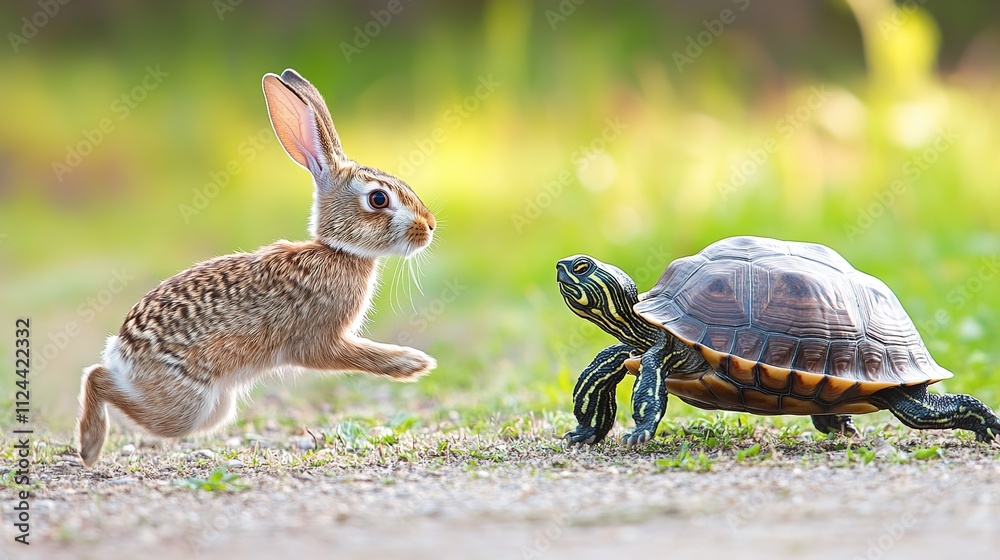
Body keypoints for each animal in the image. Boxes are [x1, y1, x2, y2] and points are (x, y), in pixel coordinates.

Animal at [77, 69, 437, 467]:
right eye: (378, 199)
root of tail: (121, 350)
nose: (430, 226)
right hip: (188, 407)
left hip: (212, 409)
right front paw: (413, 363)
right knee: (97, 378)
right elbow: (357, 355)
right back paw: (90, 446)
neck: (338, 252)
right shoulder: (319, 340)